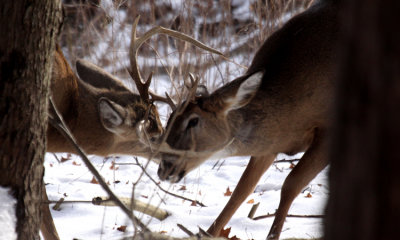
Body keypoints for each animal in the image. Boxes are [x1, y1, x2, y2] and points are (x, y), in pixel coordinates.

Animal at [158, 0, 340, 239]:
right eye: (170, 117)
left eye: (193, 121)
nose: (163, 168)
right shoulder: (270, 144)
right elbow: (241, 191)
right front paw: (209, 232)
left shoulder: (328, 129)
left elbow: (291, 184)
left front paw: (273, 235)